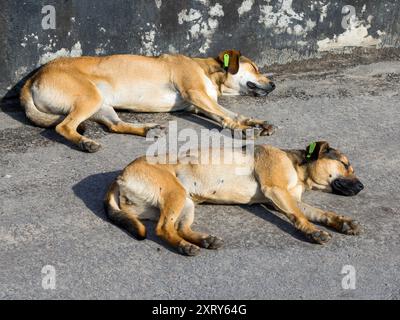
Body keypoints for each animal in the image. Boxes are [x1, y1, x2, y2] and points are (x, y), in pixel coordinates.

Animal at [18, 49, 276, 152]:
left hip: (101, 103)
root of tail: (31, 79)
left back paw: (147, 129)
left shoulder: (200, 104)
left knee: (115, 125)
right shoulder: (195, 94)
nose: (274, 85)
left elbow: (230, 114)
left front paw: (256, 122)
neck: (209, 71)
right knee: (64, 126)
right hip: (90, 97)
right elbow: (226, 115)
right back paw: (85, 142)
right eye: (255, 68)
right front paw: (241, 128)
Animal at [104, 141, 364, 256]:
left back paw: (204, 240)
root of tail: (119, 176)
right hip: (175, 193)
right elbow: (300, 216)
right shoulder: (276, 191)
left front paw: (342, 222)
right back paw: (184, 247)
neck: (299, 170)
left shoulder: (283, 199)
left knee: (179, 227)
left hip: (185, 200)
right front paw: (313, 232)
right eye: (345, 165)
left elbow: (319, 213)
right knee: (163, 229)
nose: (362, 187)